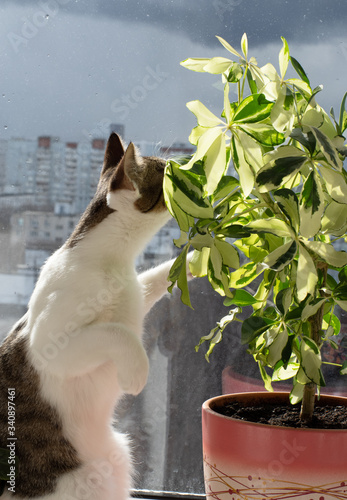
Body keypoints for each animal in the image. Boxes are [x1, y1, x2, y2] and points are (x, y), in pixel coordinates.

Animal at [0, 133, 179, 500]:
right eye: (165, 170)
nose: (183, 165)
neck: (111, 262)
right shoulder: (53, 346)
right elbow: (115, 333)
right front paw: (135, 374)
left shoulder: (135, 296)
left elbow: (157, 277)